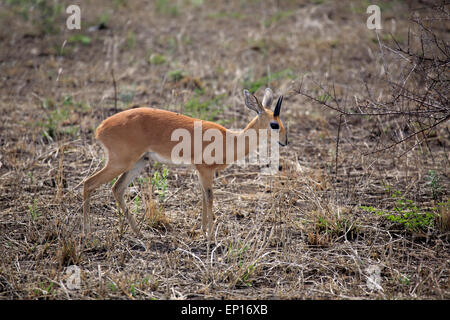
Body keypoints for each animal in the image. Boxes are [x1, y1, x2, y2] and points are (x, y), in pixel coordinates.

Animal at [82, 87, 286, 240]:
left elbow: (203, 196)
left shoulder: (201, 172)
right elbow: (209, 197)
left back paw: (139, 233)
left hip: (138, 162)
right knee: (88, 183)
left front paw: (203, 231)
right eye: (274, 125)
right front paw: (210, 236)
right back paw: (88, 233)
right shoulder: (204, 170)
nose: (285, 141)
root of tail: (100, 128)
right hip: (120, 162)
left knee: (117, 188)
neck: (230, 140)